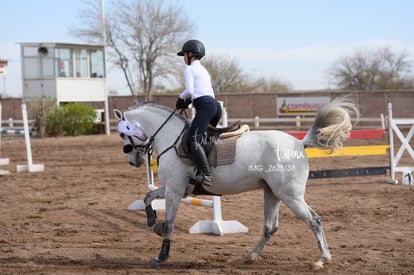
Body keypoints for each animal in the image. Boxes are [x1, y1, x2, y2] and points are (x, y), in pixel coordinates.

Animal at [115, 98, 358, 270]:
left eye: (123, 134)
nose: (134, 161)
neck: (172, 138)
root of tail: (298, 143)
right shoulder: (174, 190)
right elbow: (148, 197)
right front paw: (152, 221)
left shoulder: (175, 192)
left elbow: (171, 224)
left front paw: (161, 256)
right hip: (272, 193)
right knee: (270, 227)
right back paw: (249, 257)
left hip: (291, 196)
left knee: (314, 220)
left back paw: (322, 259)